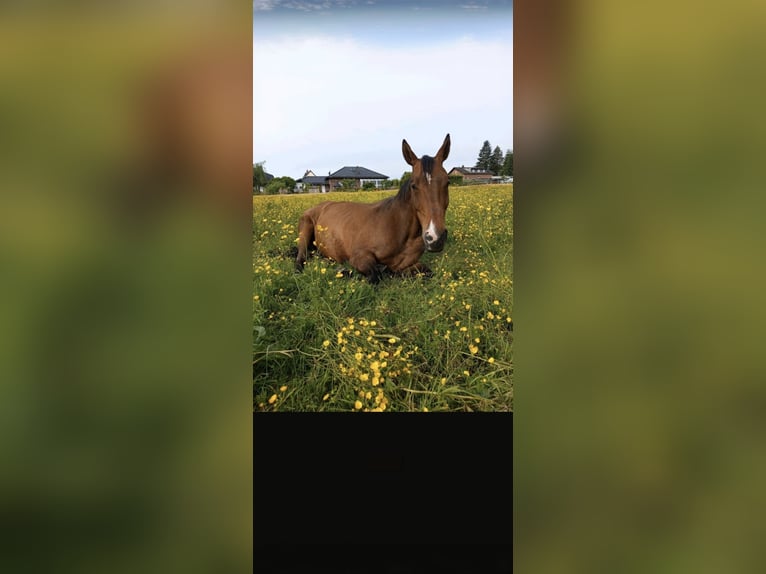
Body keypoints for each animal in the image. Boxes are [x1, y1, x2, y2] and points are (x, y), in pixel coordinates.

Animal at [295, 134, 451, 284]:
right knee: (300, 258)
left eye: (447, 182)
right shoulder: (359, 256)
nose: (435, 238)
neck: (398, 228)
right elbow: (374, 276)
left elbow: (426, 272)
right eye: (414, 185)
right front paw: (347, 271)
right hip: (305, 232)